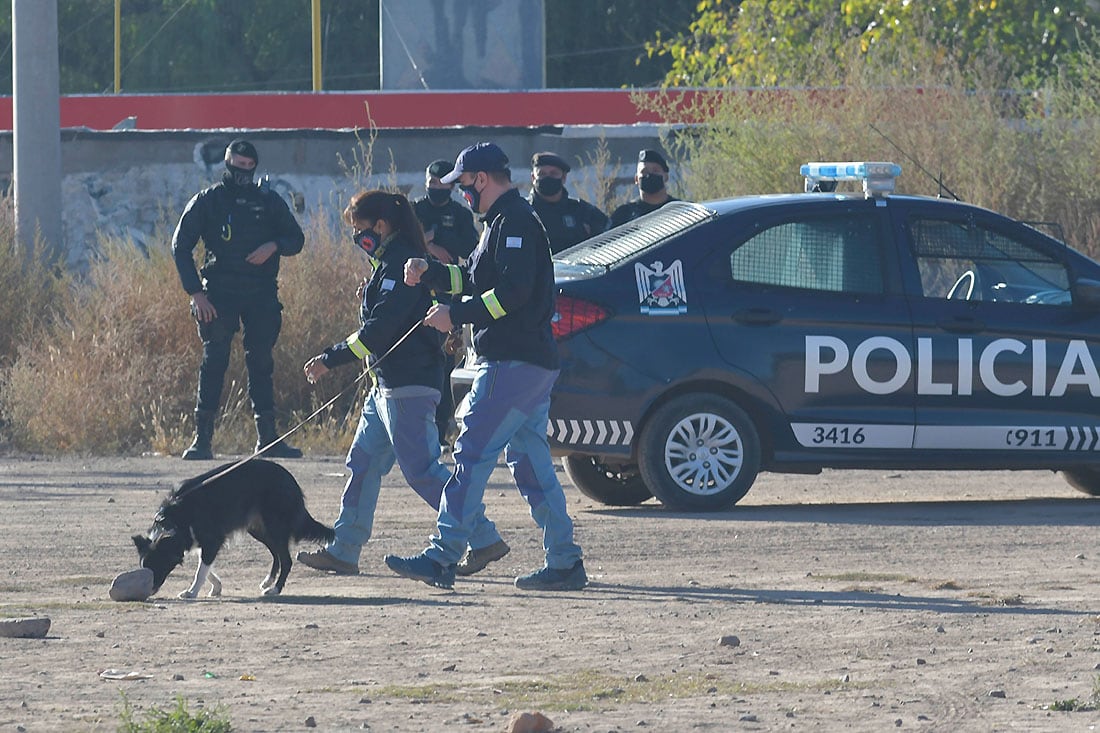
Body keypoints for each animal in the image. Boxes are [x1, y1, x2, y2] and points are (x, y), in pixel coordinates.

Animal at [132, 460, 332, 598]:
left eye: (157, 566)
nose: (149, 591)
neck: (173, 518)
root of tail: (290, 480)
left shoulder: (212, 539)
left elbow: (201, 571)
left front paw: (192, 592)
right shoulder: (202, 542)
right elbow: (206, 567)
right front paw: (216, 587)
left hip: (273, 526)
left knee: (286, 559)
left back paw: (275, 589)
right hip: (259, 529)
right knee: (277, 554)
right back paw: (268, 581)